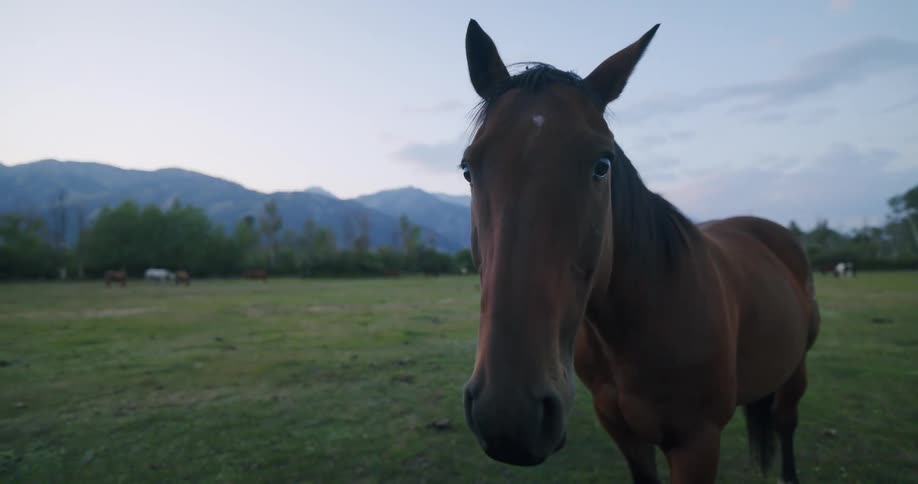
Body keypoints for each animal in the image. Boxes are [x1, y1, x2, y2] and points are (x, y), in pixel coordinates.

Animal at [459, 20, 820, 484]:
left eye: (603, 164)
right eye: (468, 168)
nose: (510, 416)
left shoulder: (698, 443)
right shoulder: (622, 430)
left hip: (796, 368)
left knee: (786, 422)